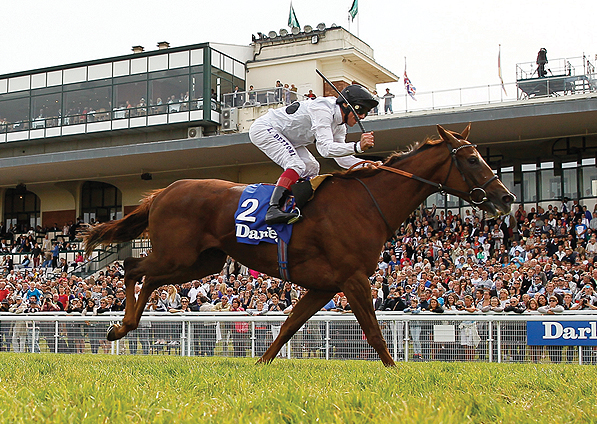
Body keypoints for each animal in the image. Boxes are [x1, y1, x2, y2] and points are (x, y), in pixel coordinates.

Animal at [82, 124, 512, 366]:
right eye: (472, 160)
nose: (505, 197)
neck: (366, 202)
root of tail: (164, 191)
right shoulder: (353, 279)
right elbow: (373, 332)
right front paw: (396, 374)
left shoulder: (325, 285)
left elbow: (289, 326)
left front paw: (261, 364)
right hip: (179, 254)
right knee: (133, 268)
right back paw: (121, 327)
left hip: (201, 262)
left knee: (147, 277)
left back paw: (124, 325)